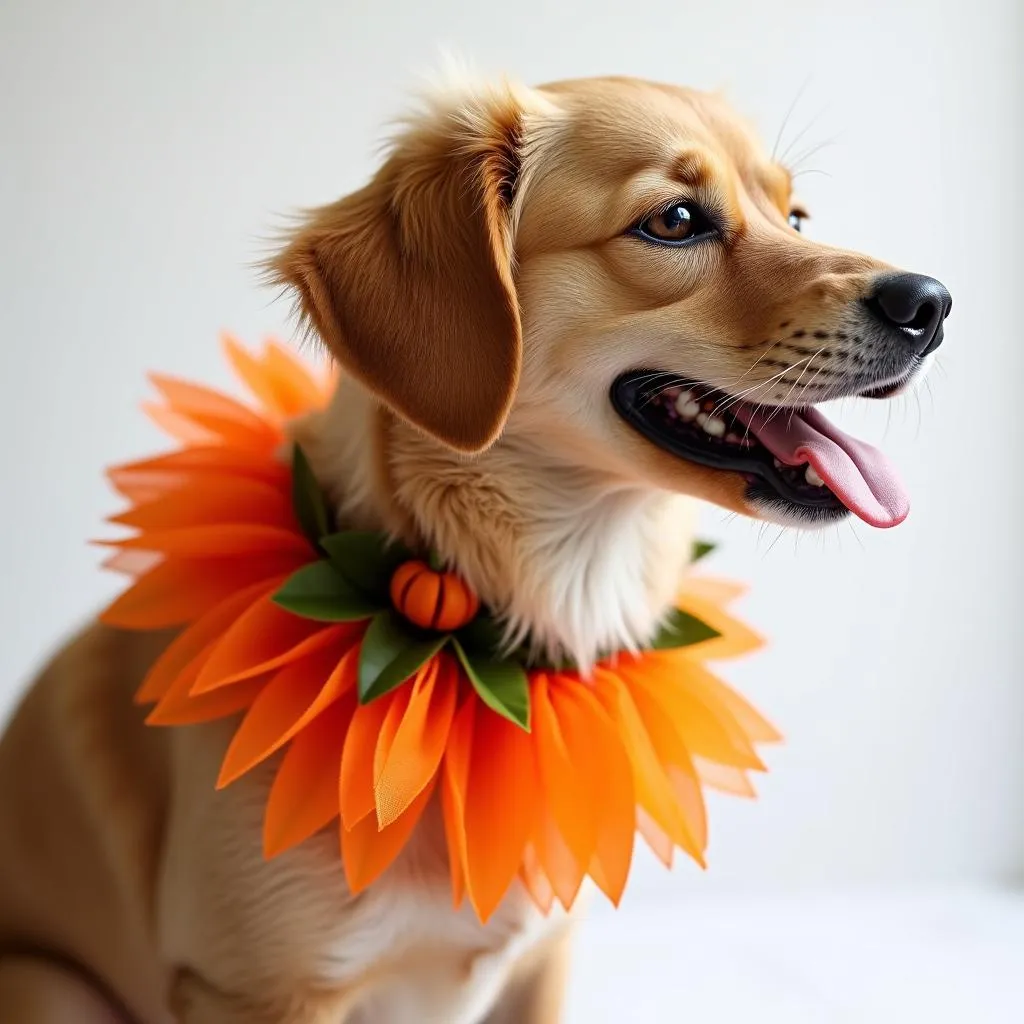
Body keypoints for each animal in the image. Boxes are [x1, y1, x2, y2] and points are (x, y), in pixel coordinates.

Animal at [0, 74, 950, 1024]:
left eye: (795, 215)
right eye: (675, 221)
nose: (931, 303)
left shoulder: (542, 961)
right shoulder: (254, 991)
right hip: (54, 987)